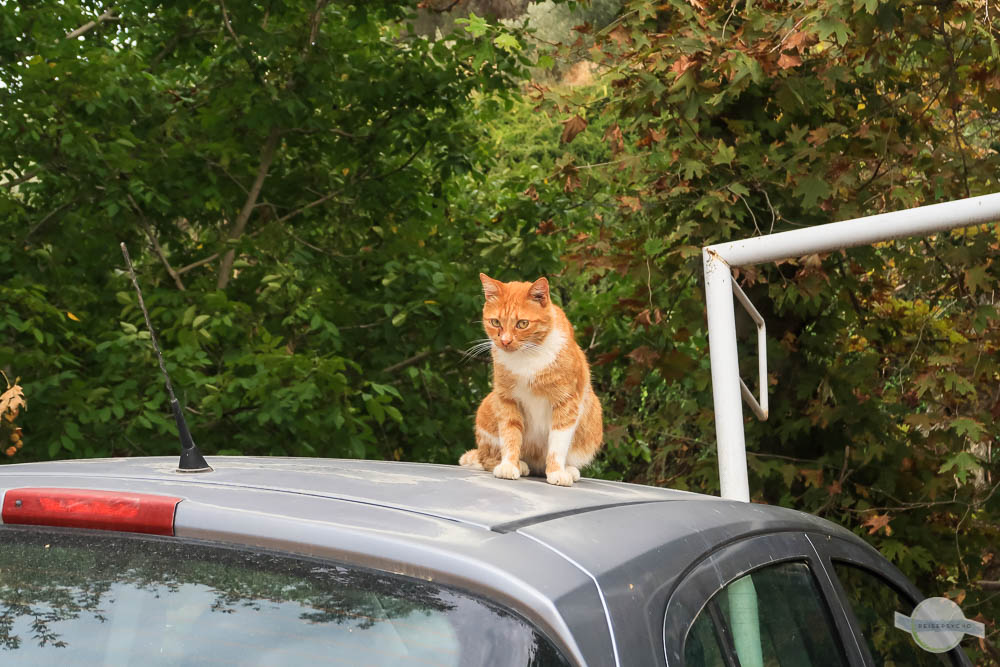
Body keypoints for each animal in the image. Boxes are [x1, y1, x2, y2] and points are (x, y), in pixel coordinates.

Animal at [458, 274, 600, 488]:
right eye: (496, 322)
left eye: (522, 324)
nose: (505, 341)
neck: (527, 358)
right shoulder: (506, 399)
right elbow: (510, 435)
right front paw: (509, 466)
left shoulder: (566, 403)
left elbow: (558, 443)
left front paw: (557, 472)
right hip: (487, 408)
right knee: (486, 458)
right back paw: (520, 465)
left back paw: (567, 469)